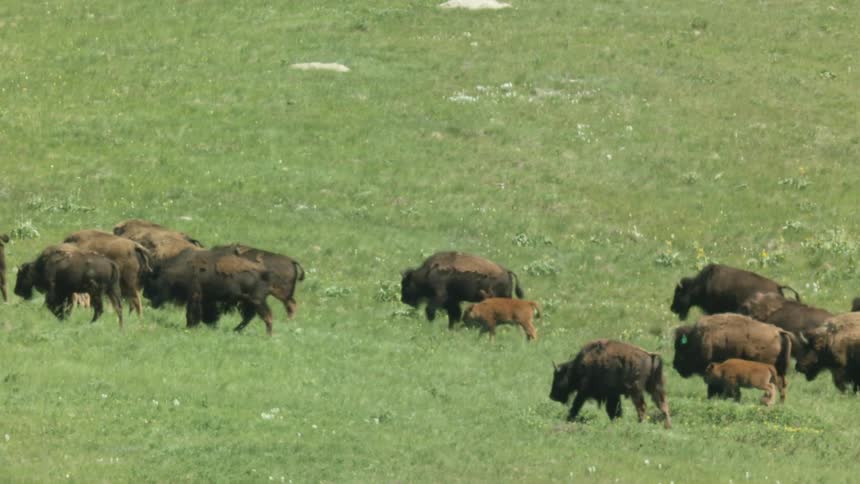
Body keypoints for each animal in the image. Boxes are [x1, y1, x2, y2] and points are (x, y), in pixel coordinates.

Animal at [142, 248, 275, 335]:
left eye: (152, 279)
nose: (145, 294)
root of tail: (263, 272)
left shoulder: (195, 296)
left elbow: (192, 313)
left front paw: (191, 327)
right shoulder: (206, 299)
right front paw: (211, 325)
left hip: (256, 301)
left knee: (266, 316)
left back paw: (267, 335)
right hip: (248, 302)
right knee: (250, 317)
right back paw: (236, 330)